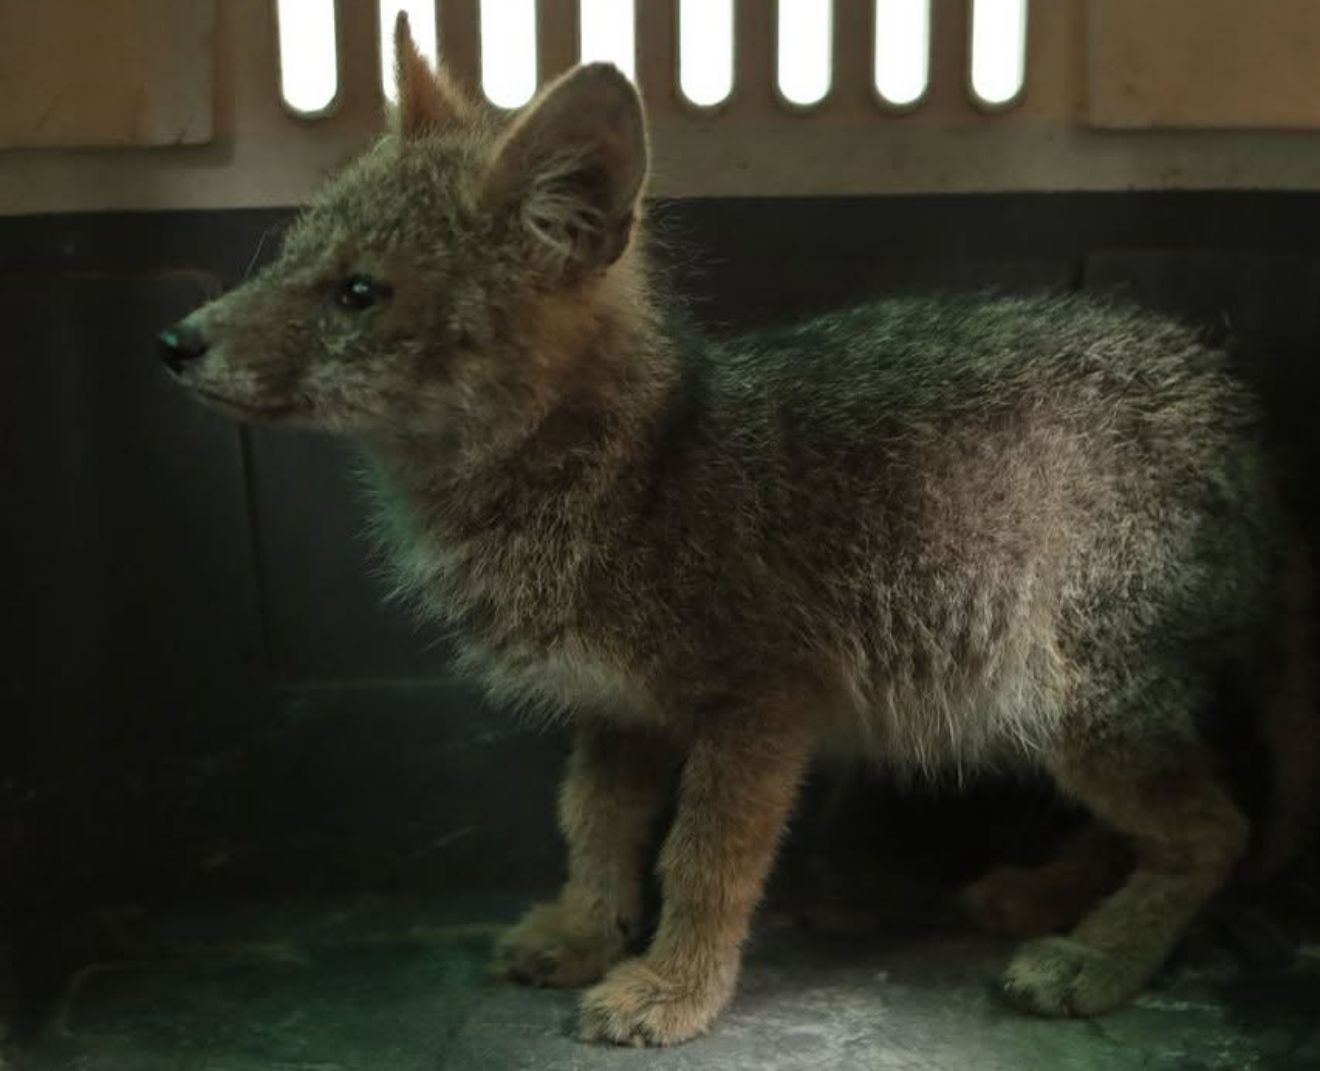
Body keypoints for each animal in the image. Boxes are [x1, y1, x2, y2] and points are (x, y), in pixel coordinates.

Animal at [159, 15, 1314, 1046]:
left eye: (358, 292)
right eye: (286, 257)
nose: (174, 340)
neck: (618, 476)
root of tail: (1239, 412)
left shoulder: (759, 711)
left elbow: (702, 863)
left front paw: (674, 989)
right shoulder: (615, 712)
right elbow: (594, 829)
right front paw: (584, 932)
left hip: (1078, 710)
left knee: (1217, 829)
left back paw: (1101, 957)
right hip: (1052, 717)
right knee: (1156, 824)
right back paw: (1042, 897)